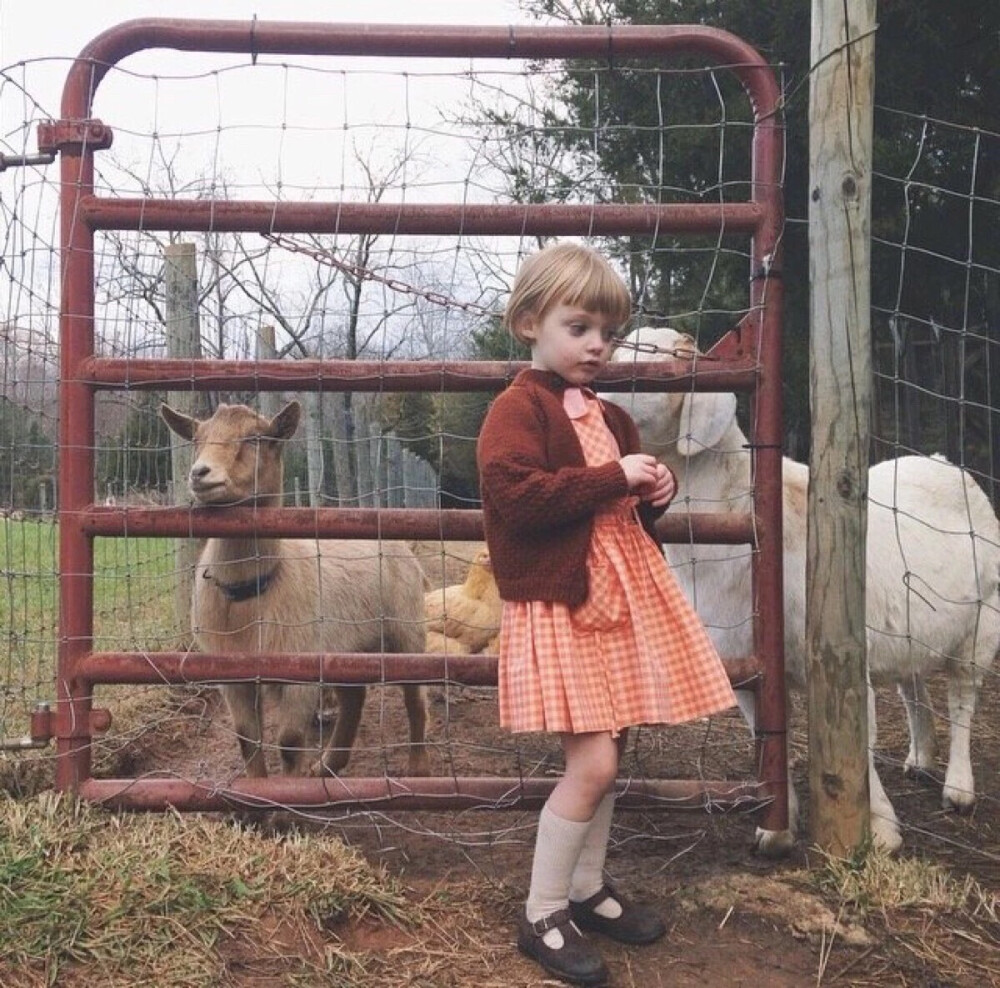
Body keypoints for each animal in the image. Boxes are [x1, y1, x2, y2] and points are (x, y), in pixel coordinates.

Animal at [160, 402, 430, 780]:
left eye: (257, 438)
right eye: (197, 439)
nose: (200, 473)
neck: (249, 595)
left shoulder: (299, 669)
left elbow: (289, 742)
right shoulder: (230, 674)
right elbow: (247, 739)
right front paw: (257, 790)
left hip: (406, 629)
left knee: (414, 698)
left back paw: (418, 765)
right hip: (347, 648)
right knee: (354, 699)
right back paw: (328, 766)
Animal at [604, 328, 1000, 852]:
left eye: (648, 373)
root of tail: (945, 463)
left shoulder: (844, 655)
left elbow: (860, 743)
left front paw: (879, 833)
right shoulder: (747, 669)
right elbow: (767, 736)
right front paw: (777, 829)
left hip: (983, 621)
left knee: (963, 697)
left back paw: (958, 788)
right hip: (911, 630)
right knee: (914, 686)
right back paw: (920, 759)